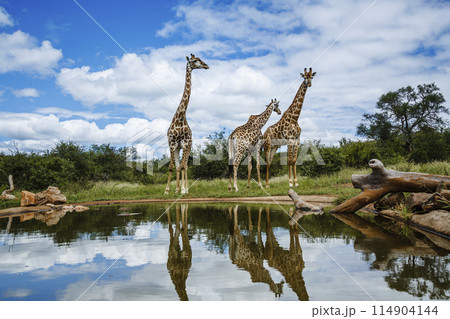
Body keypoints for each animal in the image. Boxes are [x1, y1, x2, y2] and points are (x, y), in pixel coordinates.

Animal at [164, 53, 208, 195]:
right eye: (194, 61)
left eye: (200, 60)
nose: (206, 65)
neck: (180, 117)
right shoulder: (172, 143)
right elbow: (172, 166)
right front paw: (168, 190)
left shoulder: (184, 143)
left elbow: (183, 166)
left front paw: (184, 189)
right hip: (178, 147)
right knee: (179, 166)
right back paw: (177, 189)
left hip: (188, 145)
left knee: (185, 166)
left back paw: (185, 188)